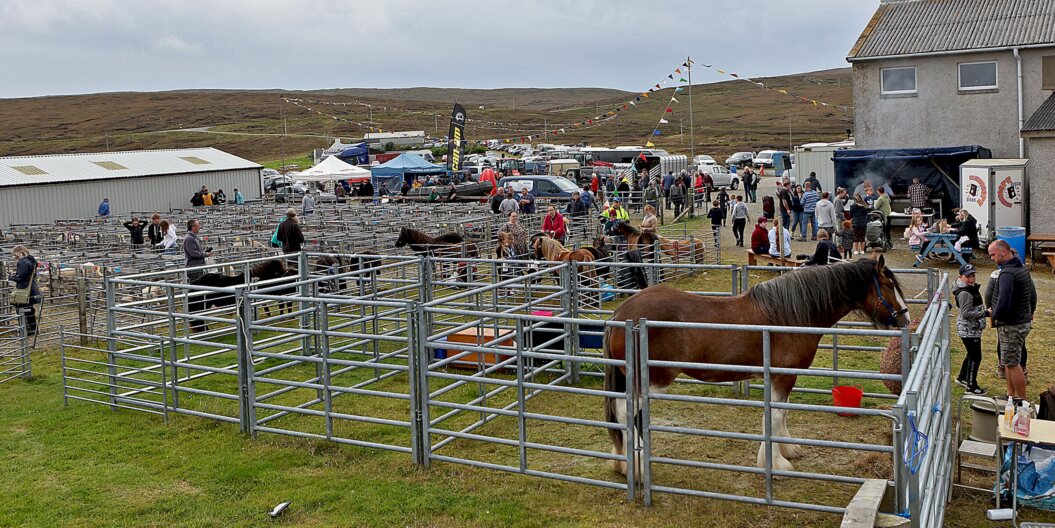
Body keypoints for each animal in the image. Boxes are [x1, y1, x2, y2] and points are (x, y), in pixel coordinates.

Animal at [607, 255, 911, 479]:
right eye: (888, 286)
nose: (905, 320)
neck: (789, 315)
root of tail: (622, 313)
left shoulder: (779, 378)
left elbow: (780, 414)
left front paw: (787, 449)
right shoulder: (783, 377)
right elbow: (774, 416)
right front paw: (775, 463)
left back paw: (626, 463)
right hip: (651, 378)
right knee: (624, 411)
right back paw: (636, 467)